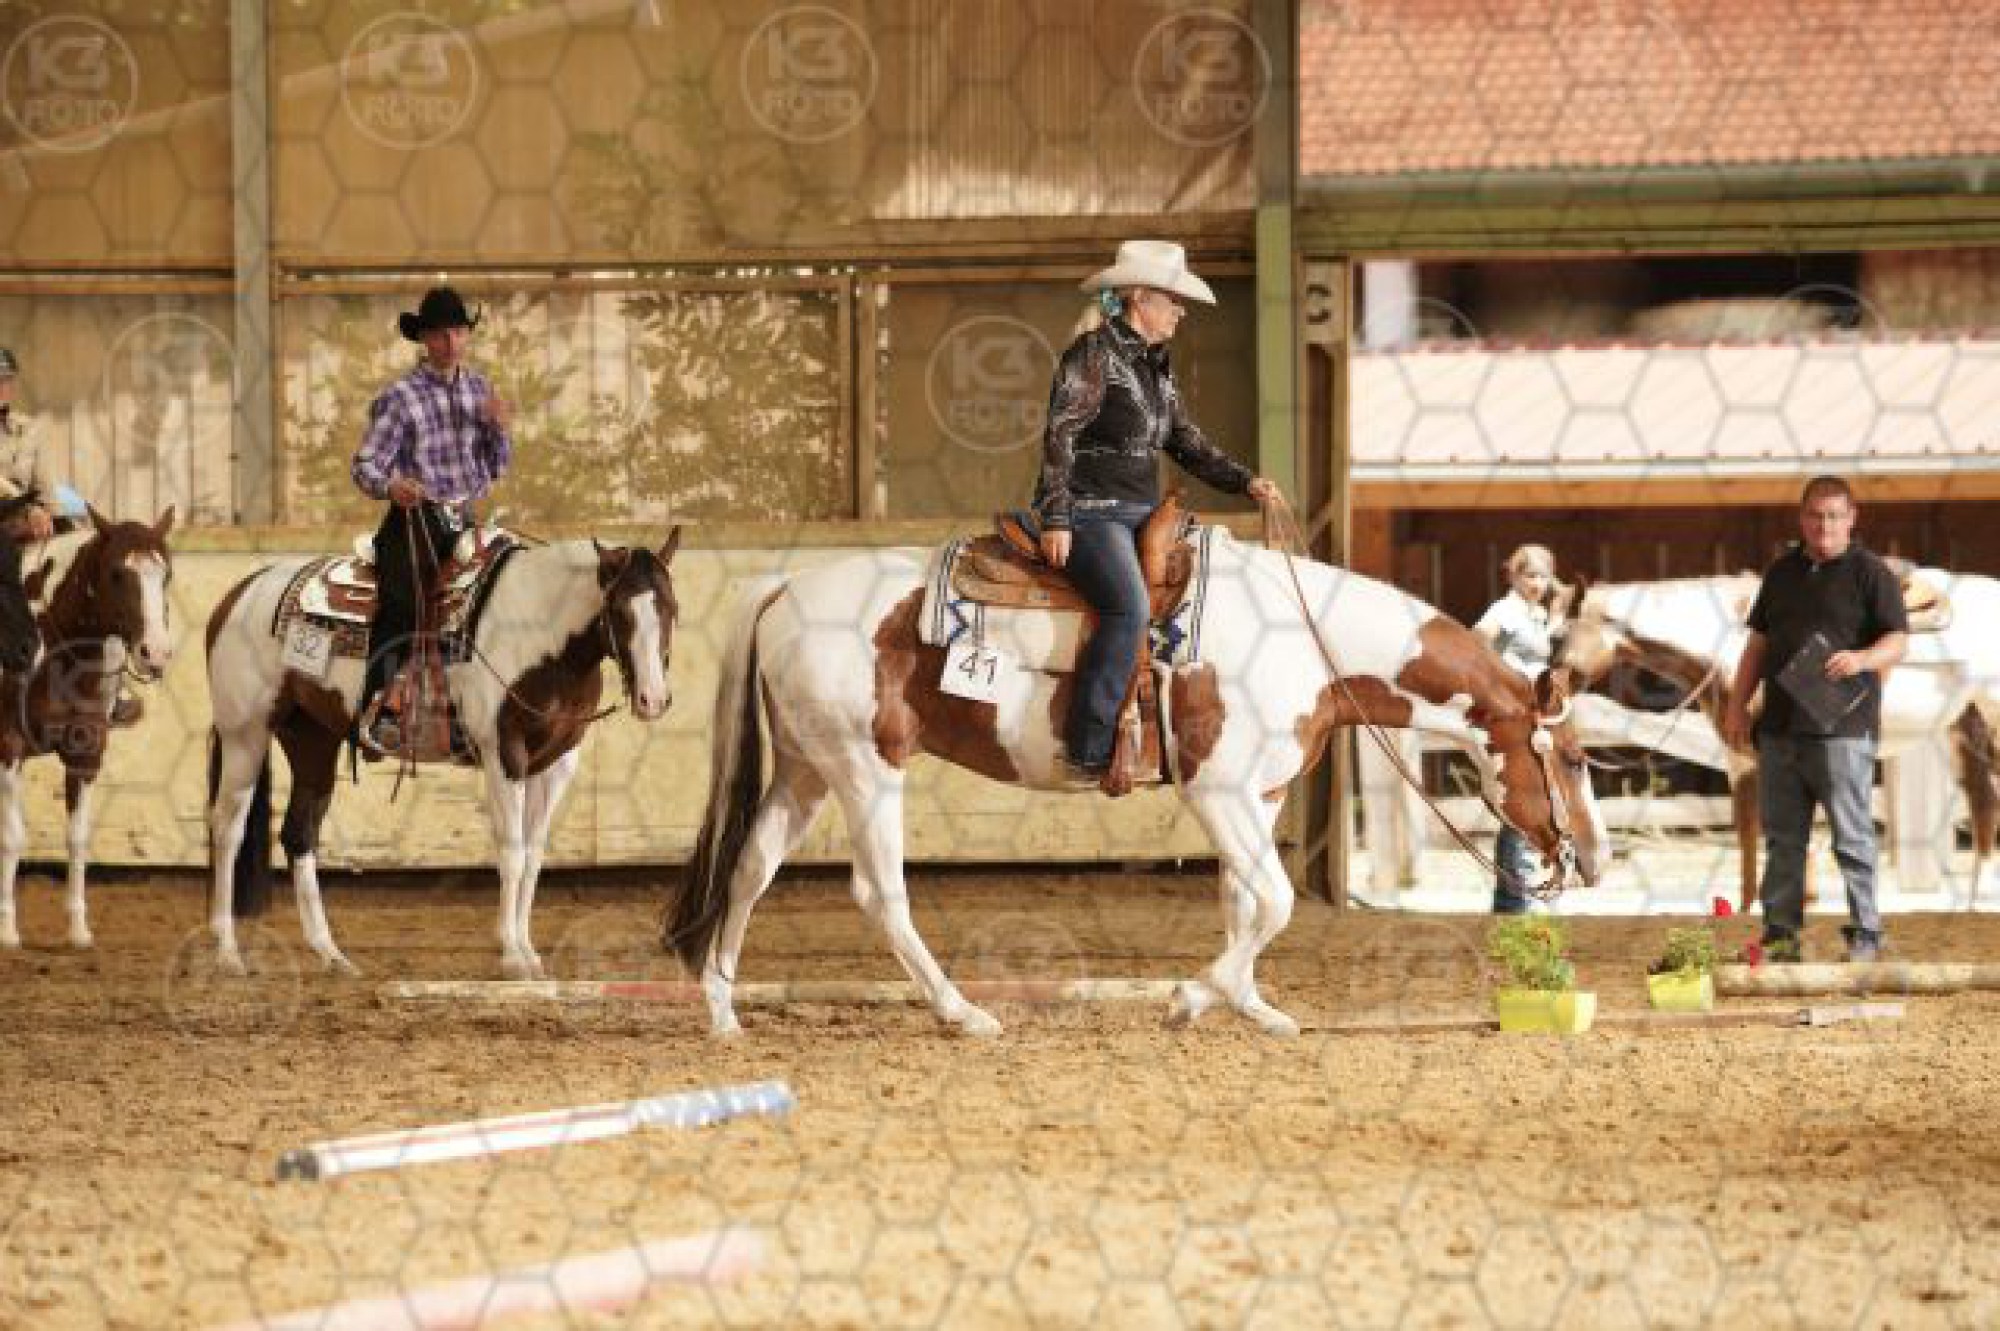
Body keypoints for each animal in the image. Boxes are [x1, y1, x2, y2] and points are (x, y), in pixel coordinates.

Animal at [0, 505, 177, 950]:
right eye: (116, 573)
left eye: (166, 574)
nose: (155, 653)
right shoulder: (8, 748)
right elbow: (12, 837)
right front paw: (7, 930)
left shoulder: (86, 755)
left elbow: (77, 838)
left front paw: (78, 929)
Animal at [204, 529, 681, 978]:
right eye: (619, 610)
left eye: (672, 609)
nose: (653, 700)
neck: (539, 633)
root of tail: (239, 594)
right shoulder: (504, 753)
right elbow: (512, 852)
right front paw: (512, 956)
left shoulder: (557, 762)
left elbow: (534, 856)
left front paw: (529, 952)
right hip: (245, 734)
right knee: (228, 830)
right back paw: (227, 952)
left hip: (312, 738)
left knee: (300, 834)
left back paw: (332, 956)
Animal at [661, 527, 1608, 1039]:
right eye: (1570, 756)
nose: (1594, 860)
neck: (1305, 638)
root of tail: (787, 584)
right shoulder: (1217, 794)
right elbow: (1276, 902)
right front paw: (1190, 998)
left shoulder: (1255, 799)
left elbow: (1246, 903)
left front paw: (1253, 1008)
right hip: (867, 770)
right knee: (878, 891)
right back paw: (962, 1012)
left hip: (807, 771)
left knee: (750, 867)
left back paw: (721, 1011)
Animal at [1559, 572, 2000, 905]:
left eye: (1557, 637)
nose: (1549, 692)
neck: (1733, 650)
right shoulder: (1741, 761)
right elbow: (1749, 843)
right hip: (1961, 730)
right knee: (1983, 806)